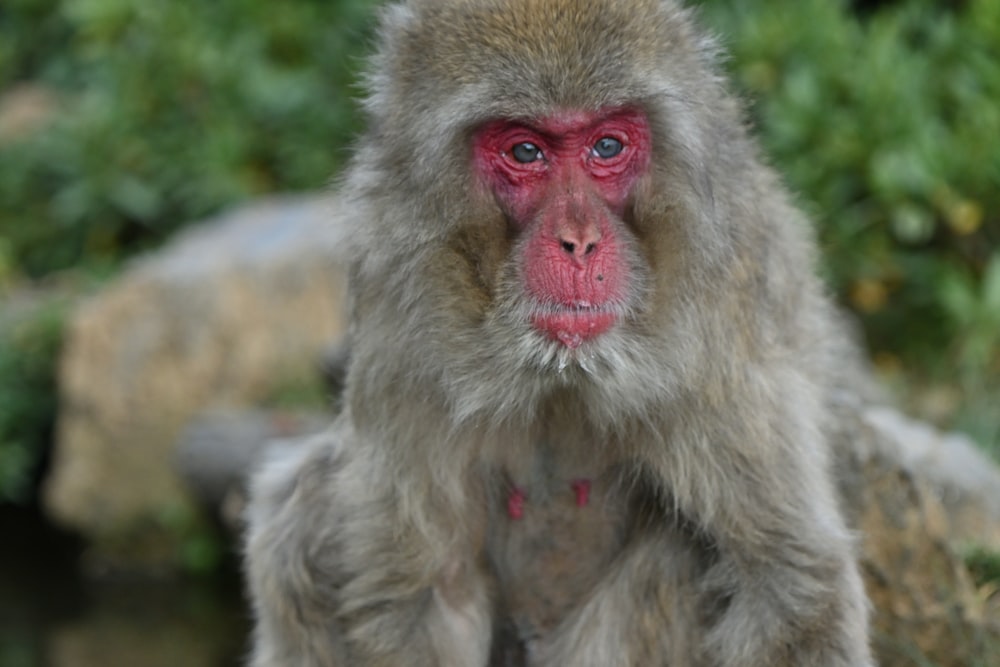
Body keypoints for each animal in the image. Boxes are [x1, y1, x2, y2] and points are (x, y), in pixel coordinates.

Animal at [244, 0, 876, 664]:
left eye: (607, 145)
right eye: (526, 152)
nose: (579, 241)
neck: (560, 370)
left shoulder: (721, 331)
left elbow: (789, 581)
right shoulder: (400, 316)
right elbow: (422, 590)